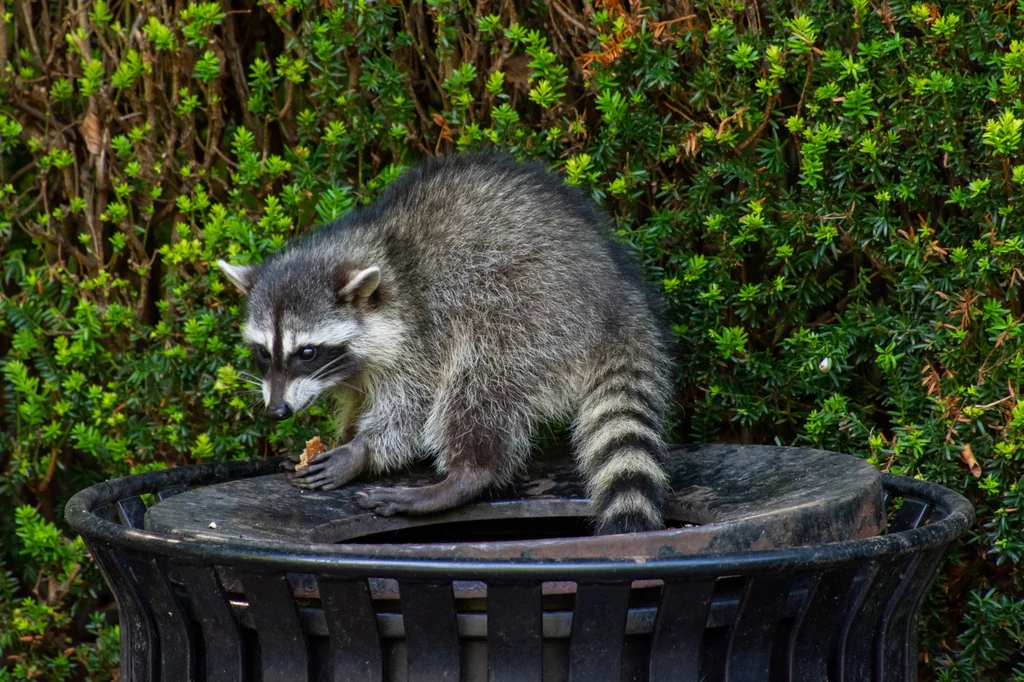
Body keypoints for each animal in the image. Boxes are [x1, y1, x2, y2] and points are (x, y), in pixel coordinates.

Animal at [218, 151, 671, 532]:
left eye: (307, 352)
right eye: (263, 354)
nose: (276, 411)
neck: (379, 249)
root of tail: (620, 299)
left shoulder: (421, 331)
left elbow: (413, 406)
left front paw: (361, 451)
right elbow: (357, 399)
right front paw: (343, 435)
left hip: (533, 312)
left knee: (478, 382)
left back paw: (466, 475)